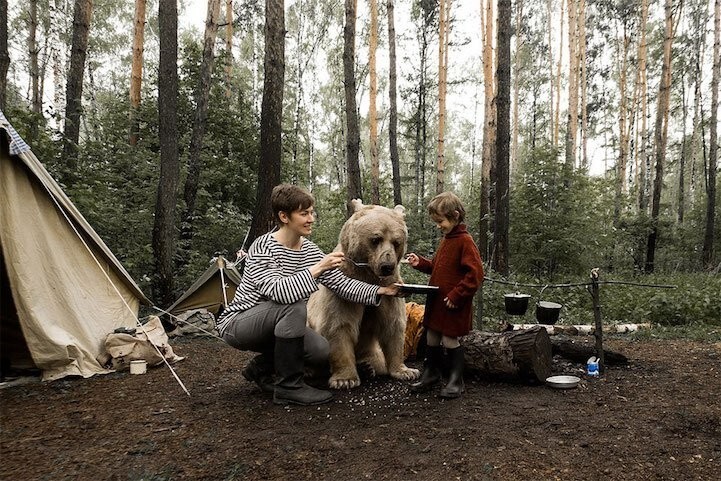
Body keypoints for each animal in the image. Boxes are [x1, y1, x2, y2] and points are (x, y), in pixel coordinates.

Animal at [306, 201, 420, 388]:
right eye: (376, 239)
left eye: (396, 242)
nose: (387, 266)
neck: (368, 276)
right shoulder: (342, 287)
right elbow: (339, 324)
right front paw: (345, 379)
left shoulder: (389, 288)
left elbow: (393, 325)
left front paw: (406, 371)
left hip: (373, 352)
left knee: (376, 359)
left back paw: (367, 367)